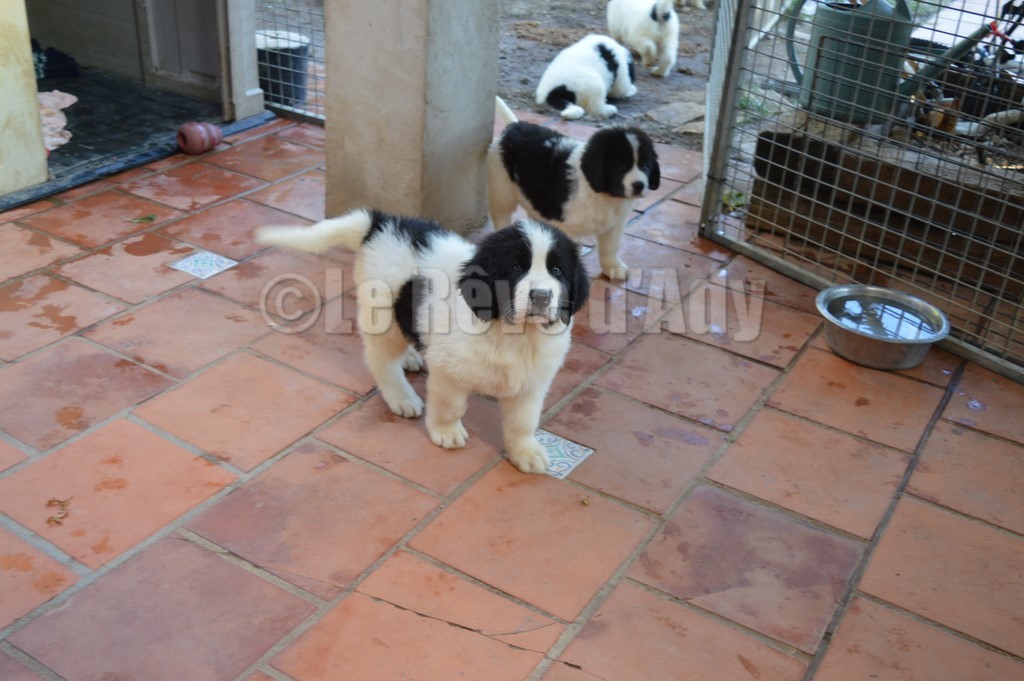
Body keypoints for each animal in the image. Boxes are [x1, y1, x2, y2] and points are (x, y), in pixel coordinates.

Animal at [255, 209, 589, 474]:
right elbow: (450, 406)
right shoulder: (449, 372)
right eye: (516, 268)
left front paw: (525, 453)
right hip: (383, 317)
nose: (542, 296)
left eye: (557, 270)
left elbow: (523, 421)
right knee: (381, 362)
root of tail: (382, 222)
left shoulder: (532, 381)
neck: (512, 333)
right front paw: (446, 432)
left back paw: (412, 357)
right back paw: (401, 396)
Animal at [488, 97, 660, 280]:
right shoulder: (568, 227)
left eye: (645, 164)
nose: (639, 185)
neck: (602, 194)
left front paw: (613, 267)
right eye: (621, 165)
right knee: (502, 216)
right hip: (501, 189)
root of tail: (514, 126)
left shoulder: (614, 225)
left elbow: (610, 247)